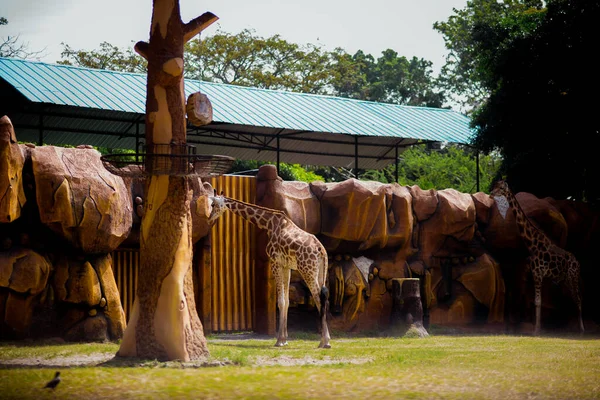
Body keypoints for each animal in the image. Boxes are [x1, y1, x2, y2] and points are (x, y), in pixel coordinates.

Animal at [210, 193, 332, 346]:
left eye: (213, 204)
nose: (209, 218)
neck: (268, 223)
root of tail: (321, 250)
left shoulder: (275, 262)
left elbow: (280, 301)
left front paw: (279, 340)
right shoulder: (286, 265)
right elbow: (286, 301)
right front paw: (284, 339)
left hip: (307, 270)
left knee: (318, 299)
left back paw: (324, 341)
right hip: (320, 271)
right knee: (324, 299)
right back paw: (325, 339)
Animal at [490, 180, 584, 334]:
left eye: (501, 188)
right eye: (495, 186)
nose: (491, 193)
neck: (532, 243)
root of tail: (577, 262)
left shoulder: (539, 273)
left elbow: (538, 302)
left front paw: (537, 330)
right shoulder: (534, 273)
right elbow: (535, 301)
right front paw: (537, 328)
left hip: (573, 276)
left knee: (578, 298)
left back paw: (581, 329)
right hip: (564, 278)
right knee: (569, 298)